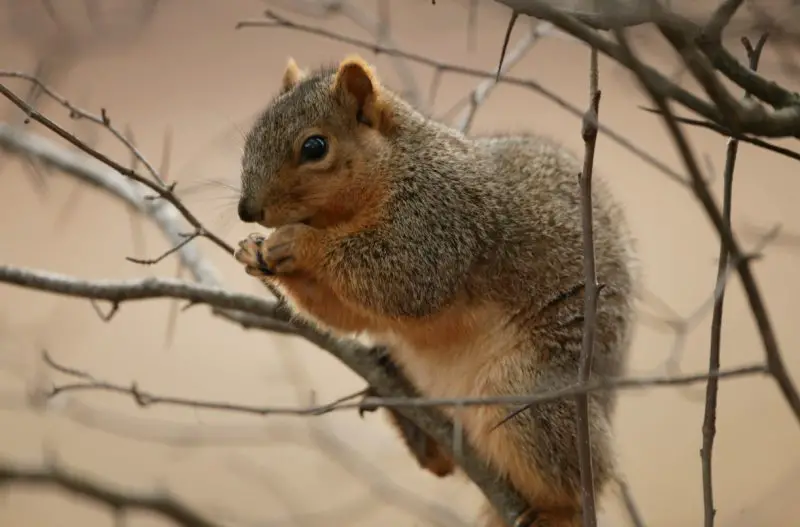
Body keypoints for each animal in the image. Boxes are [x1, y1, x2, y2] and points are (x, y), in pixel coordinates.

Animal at [233, 54, 638, 527]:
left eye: (315, 147)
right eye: (254, 133)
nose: (246, 211)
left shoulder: (441, 220)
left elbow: (402, 279)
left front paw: (297, 243)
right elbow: (351, 316)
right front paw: (253, 252)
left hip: (528, 393)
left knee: (574, 480)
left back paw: (555, 512)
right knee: (442, 464)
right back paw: (403, 412)